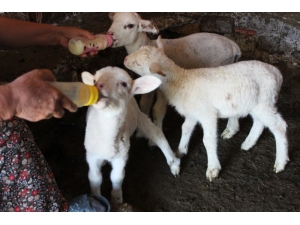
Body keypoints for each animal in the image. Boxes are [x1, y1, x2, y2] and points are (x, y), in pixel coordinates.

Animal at [81, 66, 180, 203]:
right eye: (94, 80)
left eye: (124, 84)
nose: (98, 85)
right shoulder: (92, 155)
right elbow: (94, 178)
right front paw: (96, 197)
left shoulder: (121, 157)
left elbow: (116, 177)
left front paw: (117, 198)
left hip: (139, 116)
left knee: (157, 134)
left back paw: (173, 163)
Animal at [106, 12, 243, 139]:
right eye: (113, 20)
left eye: (130, 25)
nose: (110, 34)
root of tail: (234, 47)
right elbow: (145, 104)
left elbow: (156, 108)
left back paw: (230, 131)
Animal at [123, 36, 288, 182]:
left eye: (138, 63)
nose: (124, 59)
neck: (182, 81)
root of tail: (277, 72)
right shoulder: (193, 113)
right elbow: (185, 128)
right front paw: (180, 150)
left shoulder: (207, 114)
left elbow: (208, 140)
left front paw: (213, 169)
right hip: (256, 103)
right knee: (260, 122)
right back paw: (247, 144)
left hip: (265, 100)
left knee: (279, 126)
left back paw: (280, 162)